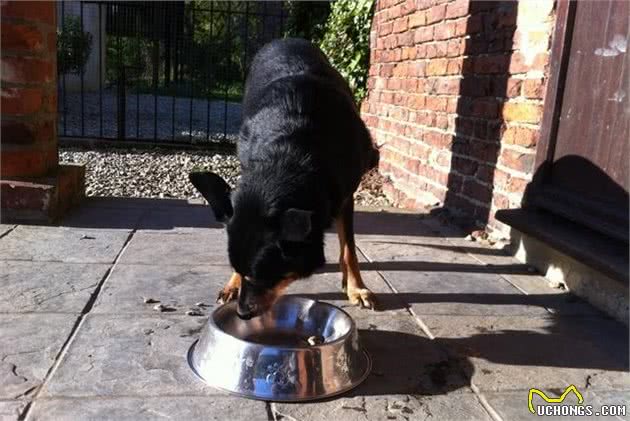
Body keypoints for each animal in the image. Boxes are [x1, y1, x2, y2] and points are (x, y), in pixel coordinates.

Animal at [191, 38, 380, 318]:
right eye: (242, 271)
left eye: (262, 276)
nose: (242, 314)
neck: (292, 153)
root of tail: (286, 39)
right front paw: (233, 283)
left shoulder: (345, 196)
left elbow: (349, 249)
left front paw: (357, 288)